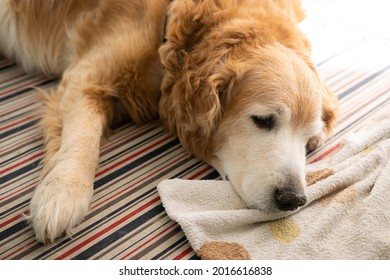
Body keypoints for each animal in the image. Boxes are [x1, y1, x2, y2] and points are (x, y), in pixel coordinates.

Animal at [0, 0, 338, 243]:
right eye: (263, 120)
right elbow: (83, 134)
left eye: (308, 142)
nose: (294, 200)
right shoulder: (85, 80)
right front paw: (62, 192)